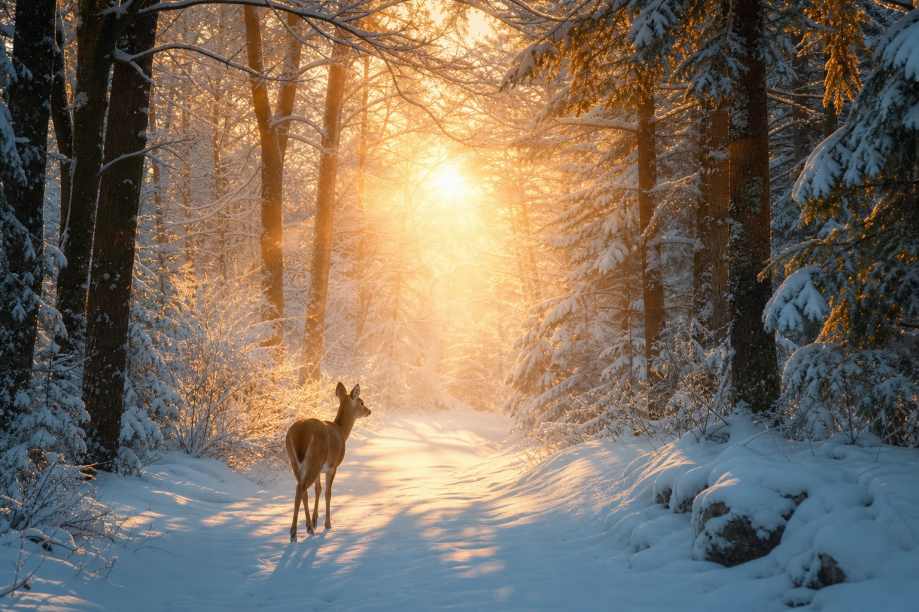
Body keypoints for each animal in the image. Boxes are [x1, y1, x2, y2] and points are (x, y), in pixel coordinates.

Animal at [285, 382, 371, 541]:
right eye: (361, 402)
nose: (369, 411)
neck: (341, 431)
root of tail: (300, 435)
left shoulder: (321, 469)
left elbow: (318, 490)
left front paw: (315, 521)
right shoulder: (332, 466)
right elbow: (328, 492)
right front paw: (327, 524)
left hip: (296, 461)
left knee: (302, 489)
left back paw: (307, 528)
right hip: (315, 459)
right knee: (301, 488)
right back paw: (296, 533)